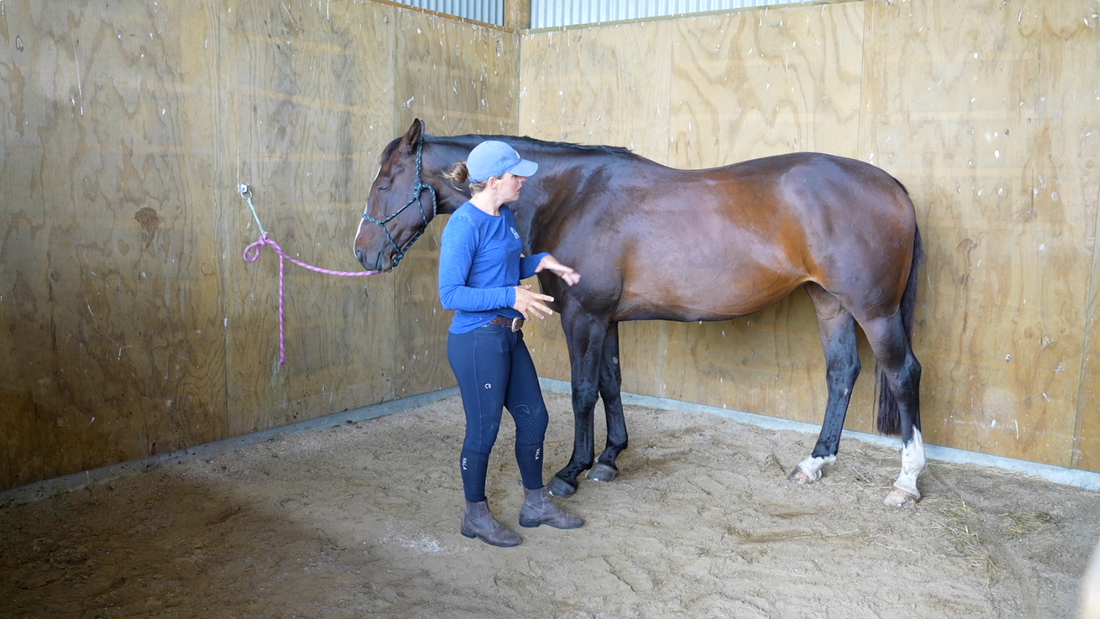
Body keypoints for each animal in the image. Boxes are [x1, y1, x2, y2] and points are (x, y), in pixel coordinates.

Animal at [353, 119, 926, 508]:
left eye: (385, 182)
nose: (363, 254)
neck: (571, 195)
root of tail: (894, 185)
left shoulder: (583, 316)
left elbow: (584, 391)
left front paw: (572, 471)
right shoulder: (605, 319)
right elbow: (611, 383)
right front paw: (610, 459)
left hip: (875, 311)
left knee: (903, 374)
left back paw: (905, 481)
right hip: (829, 303)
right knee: (842, 372)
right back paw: (815, 461)